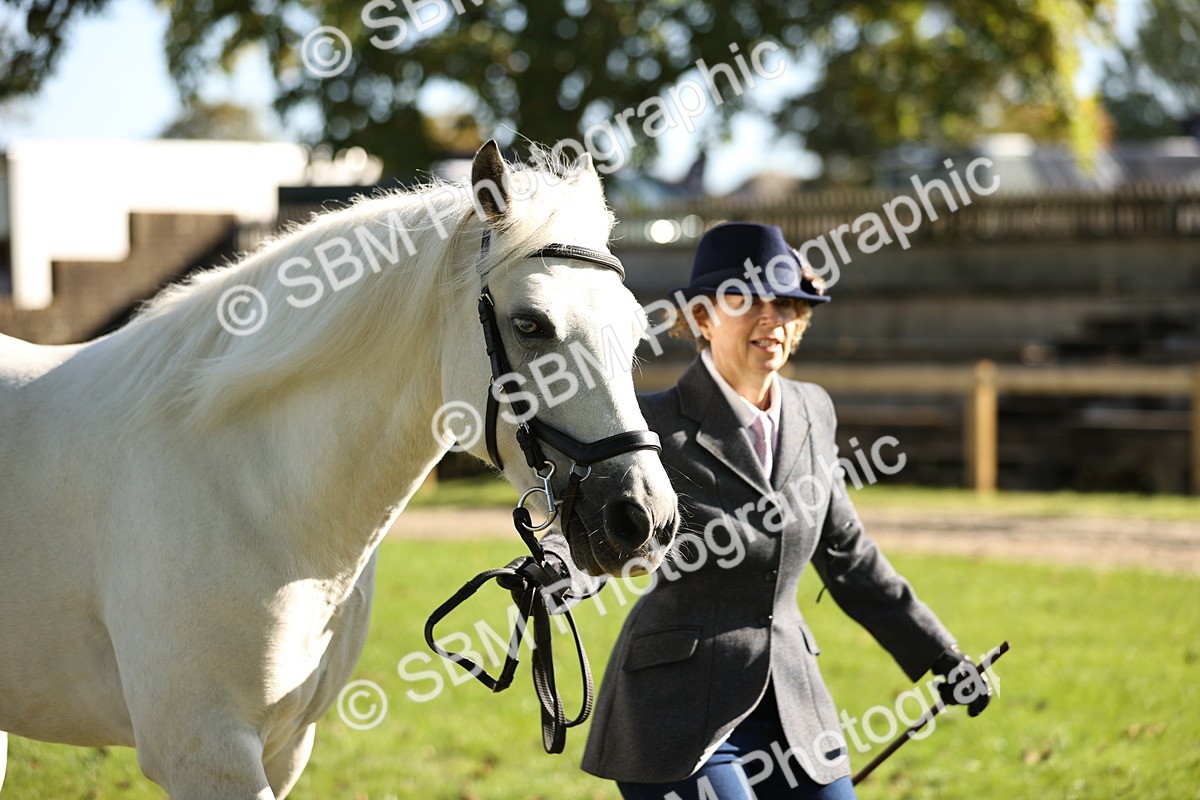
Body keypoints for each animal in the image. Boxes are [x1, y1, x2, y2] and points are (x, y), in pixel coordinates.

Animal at [0, 141, 679, 799]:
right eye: (529, 324)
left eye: (635, 330)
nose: (644, 518)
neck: (249, 491)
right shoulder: (207, 752)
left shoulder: (285, 746)